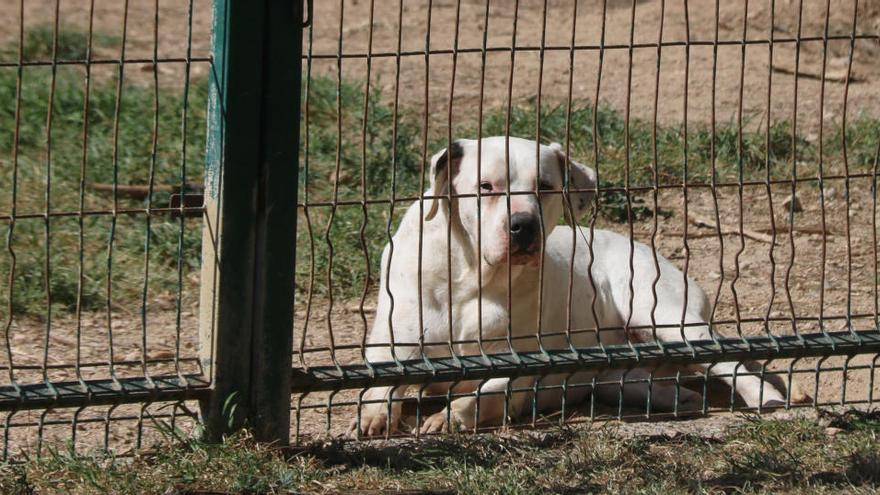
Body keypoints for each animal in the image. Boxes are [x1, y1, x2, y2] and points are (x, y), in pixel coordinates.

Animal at [354, 137, 788, 438]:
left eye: (545, 186)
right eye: (485, 186)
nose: (523, 225)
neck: (471, 277)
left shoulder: (519, 369)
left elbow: (483, 394)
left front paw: (448, 417)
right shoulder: (391, 345)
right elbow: (381, 386)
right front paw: (374, 416)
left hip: (665, 316)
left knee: (733, 365)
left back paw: (766, 397)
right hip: (620, 369)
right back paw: (676, 397)